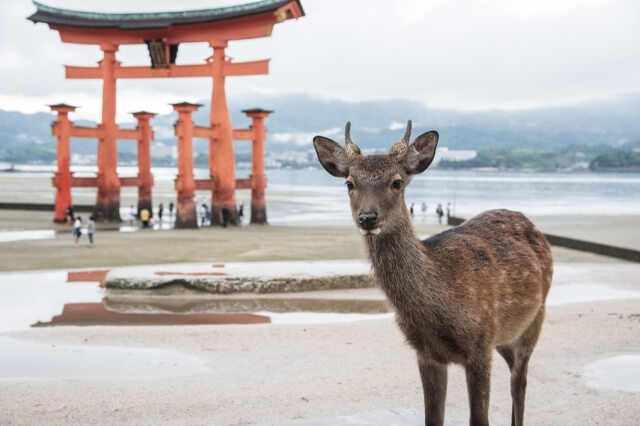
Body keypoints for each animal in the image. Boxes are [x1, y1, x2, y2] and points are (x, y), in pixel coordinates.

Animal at [312, 120, 552, 426]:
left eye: (397, 182)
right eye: (349, 183)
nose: (367, 218)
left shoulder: (481, 342)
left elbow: (479, 419)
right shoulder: (426, 353)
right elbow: (433, 418)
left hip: (534, 321)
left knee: (519, 382)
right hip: (507, 335)